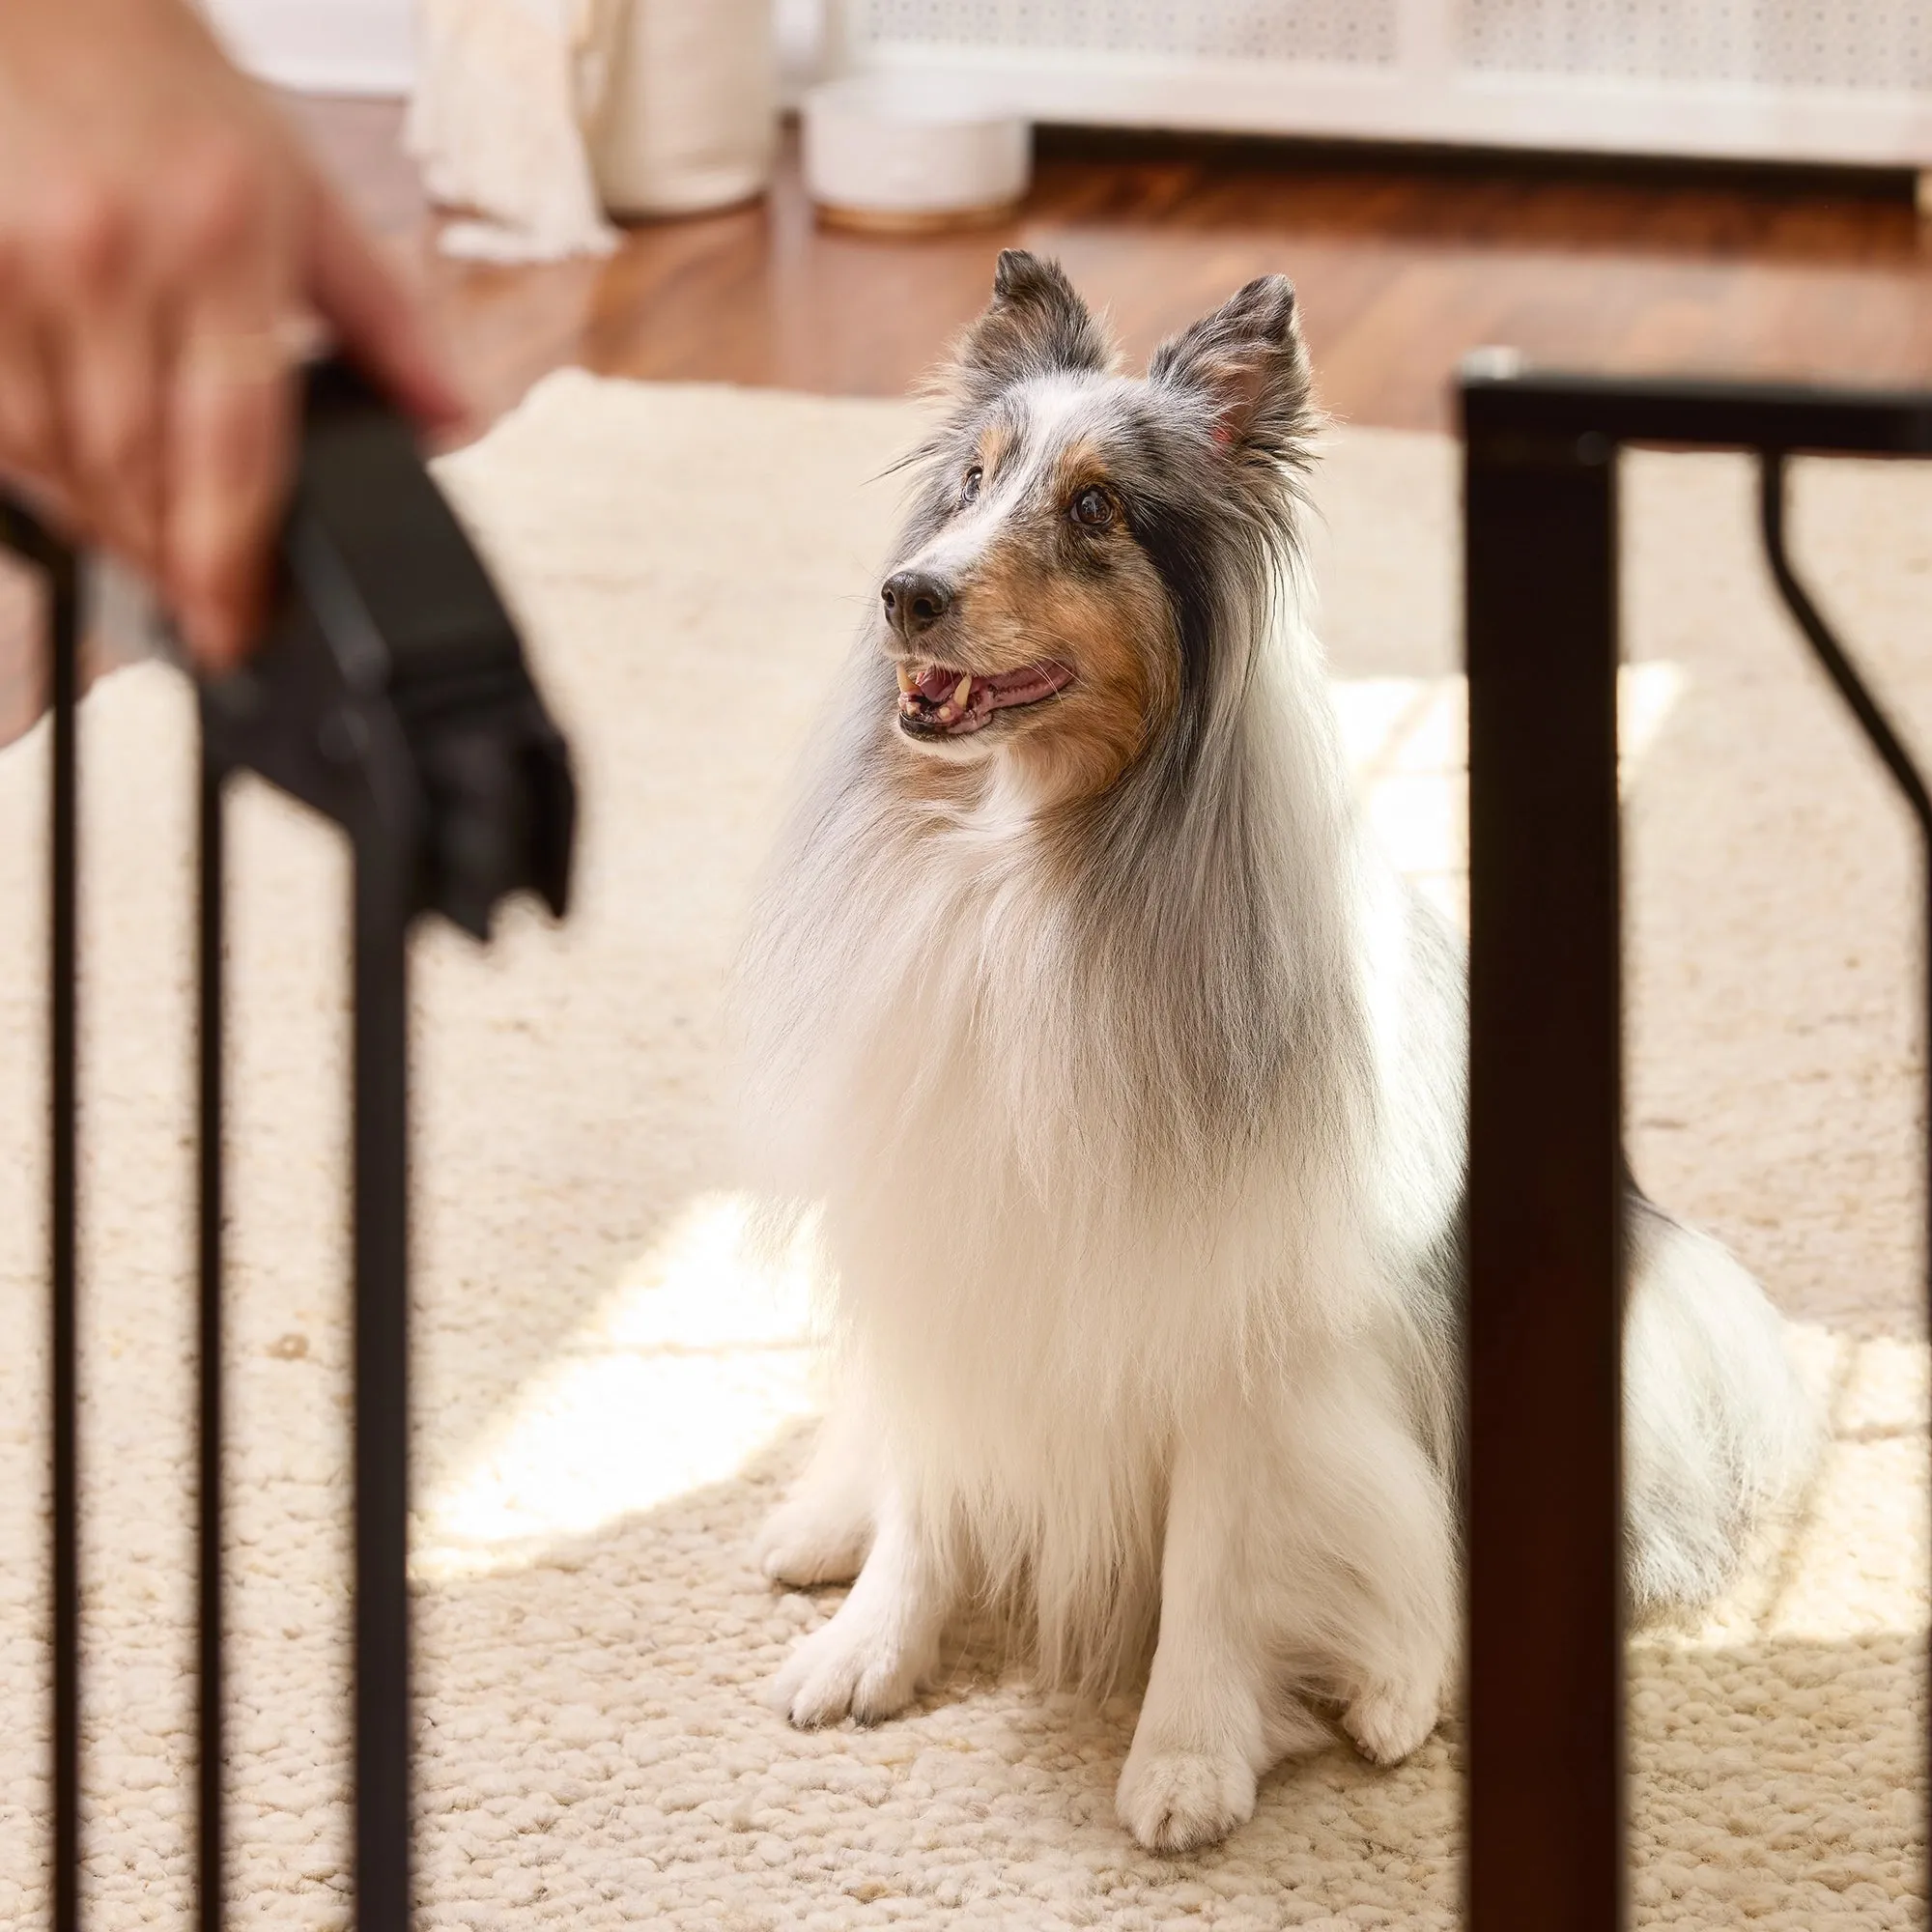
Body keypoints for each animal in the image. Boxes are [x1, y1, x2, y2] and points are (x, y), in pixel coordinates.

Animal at [734, 249, 1808, 1847]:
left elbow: (1217, 1565)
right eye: (969, 483)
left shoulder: (1243, 1340)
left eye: (1098, 510)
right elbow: (931, 1486)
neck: (1026, 880)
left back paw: (1397, 1699)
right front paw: (868, 1648)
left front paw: (1185, 1762)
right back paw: (813, 1530)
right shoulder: (957, 1252)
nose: (903, 596)